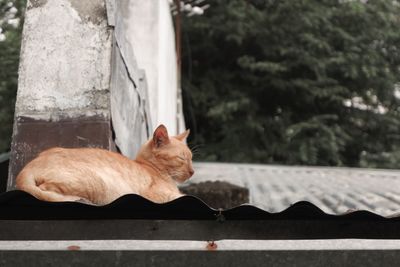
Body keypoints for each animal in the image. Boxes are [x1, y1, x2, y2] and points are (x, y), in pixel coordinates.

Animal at [16, 125, 195, 205]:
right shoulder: (158, 195)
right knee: (44, 191)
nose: (192, 171)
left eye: (191, 158)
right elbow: (183, 196)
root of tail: (28, 167)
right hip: (98, 183)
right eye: (182, 158)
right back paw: (78, 199)